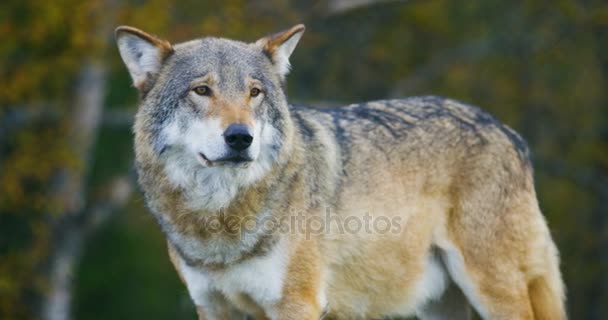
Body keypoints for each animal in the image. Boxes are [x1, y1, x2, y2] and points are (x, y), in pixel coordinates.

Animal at [116, 23, 568, 318]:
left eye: (254, 93)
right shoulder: (213, 307)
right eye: (202, 90)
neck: (219, 221)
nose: (241, 137)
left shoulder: (297, 304)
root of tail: (508, 131)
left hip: (493, 290)